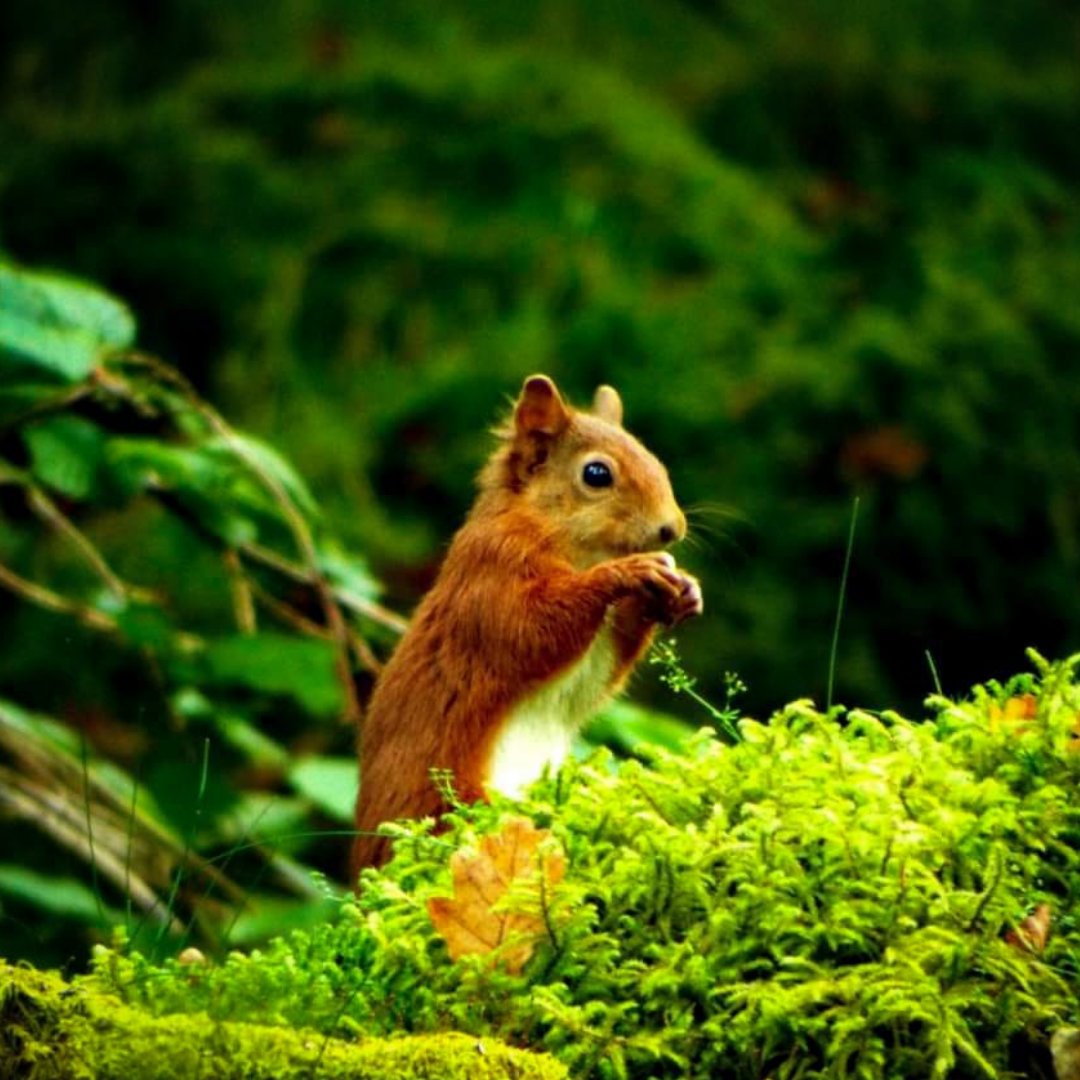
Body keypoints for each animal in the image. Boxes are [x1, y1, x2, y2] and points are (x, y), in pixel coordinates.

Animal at [351, 374, 702, 875]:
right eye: (597, 474)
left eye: (653, 458)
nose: (672, 528)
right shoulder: (490, 580)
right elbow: (533, 631)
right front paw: (623, 573)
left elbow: (601, 670)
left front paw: (685, 590)